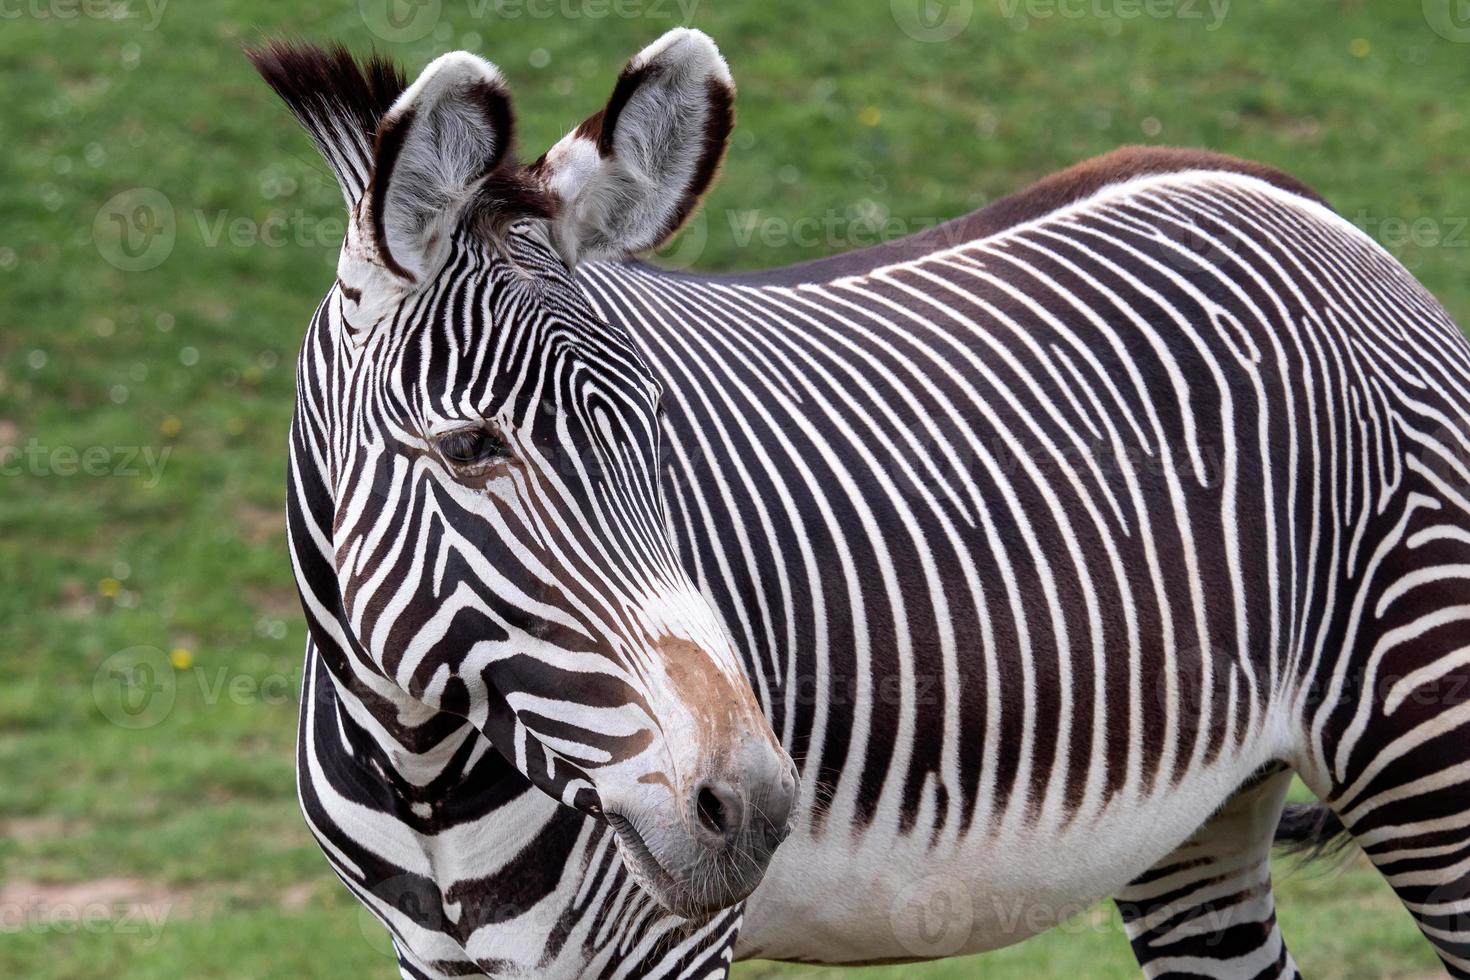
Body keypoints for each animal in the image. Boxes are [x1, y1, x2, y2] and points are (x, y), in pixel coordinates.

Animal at [252, 28, 1470, 980]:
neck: (420, 766)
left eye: (658, 423)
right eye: (470, 449)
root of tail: (1298, 201)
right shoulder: (435, 951)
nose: (751, 803)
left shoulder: (665, 945)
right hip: (1202, 815)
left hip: (1428, 746)